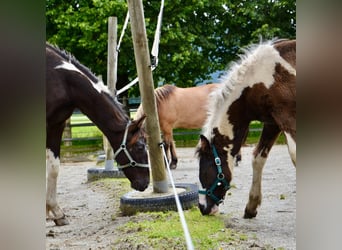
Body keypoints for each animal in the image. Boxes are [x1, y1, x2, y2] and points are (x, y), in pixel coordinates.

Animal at [46, 43, 150, 227]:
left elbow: (53, 167)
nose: (145, 183)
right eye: (139, 146)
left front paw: (55, 212)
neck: (61, 79)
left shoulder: (56, 124)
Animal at [196, 39, 296, 217]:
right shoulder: (272, 123)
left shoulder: (288, 118)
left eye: (204, 169)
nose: (202, 208)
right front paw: (251, 206)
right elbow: (258, 158)